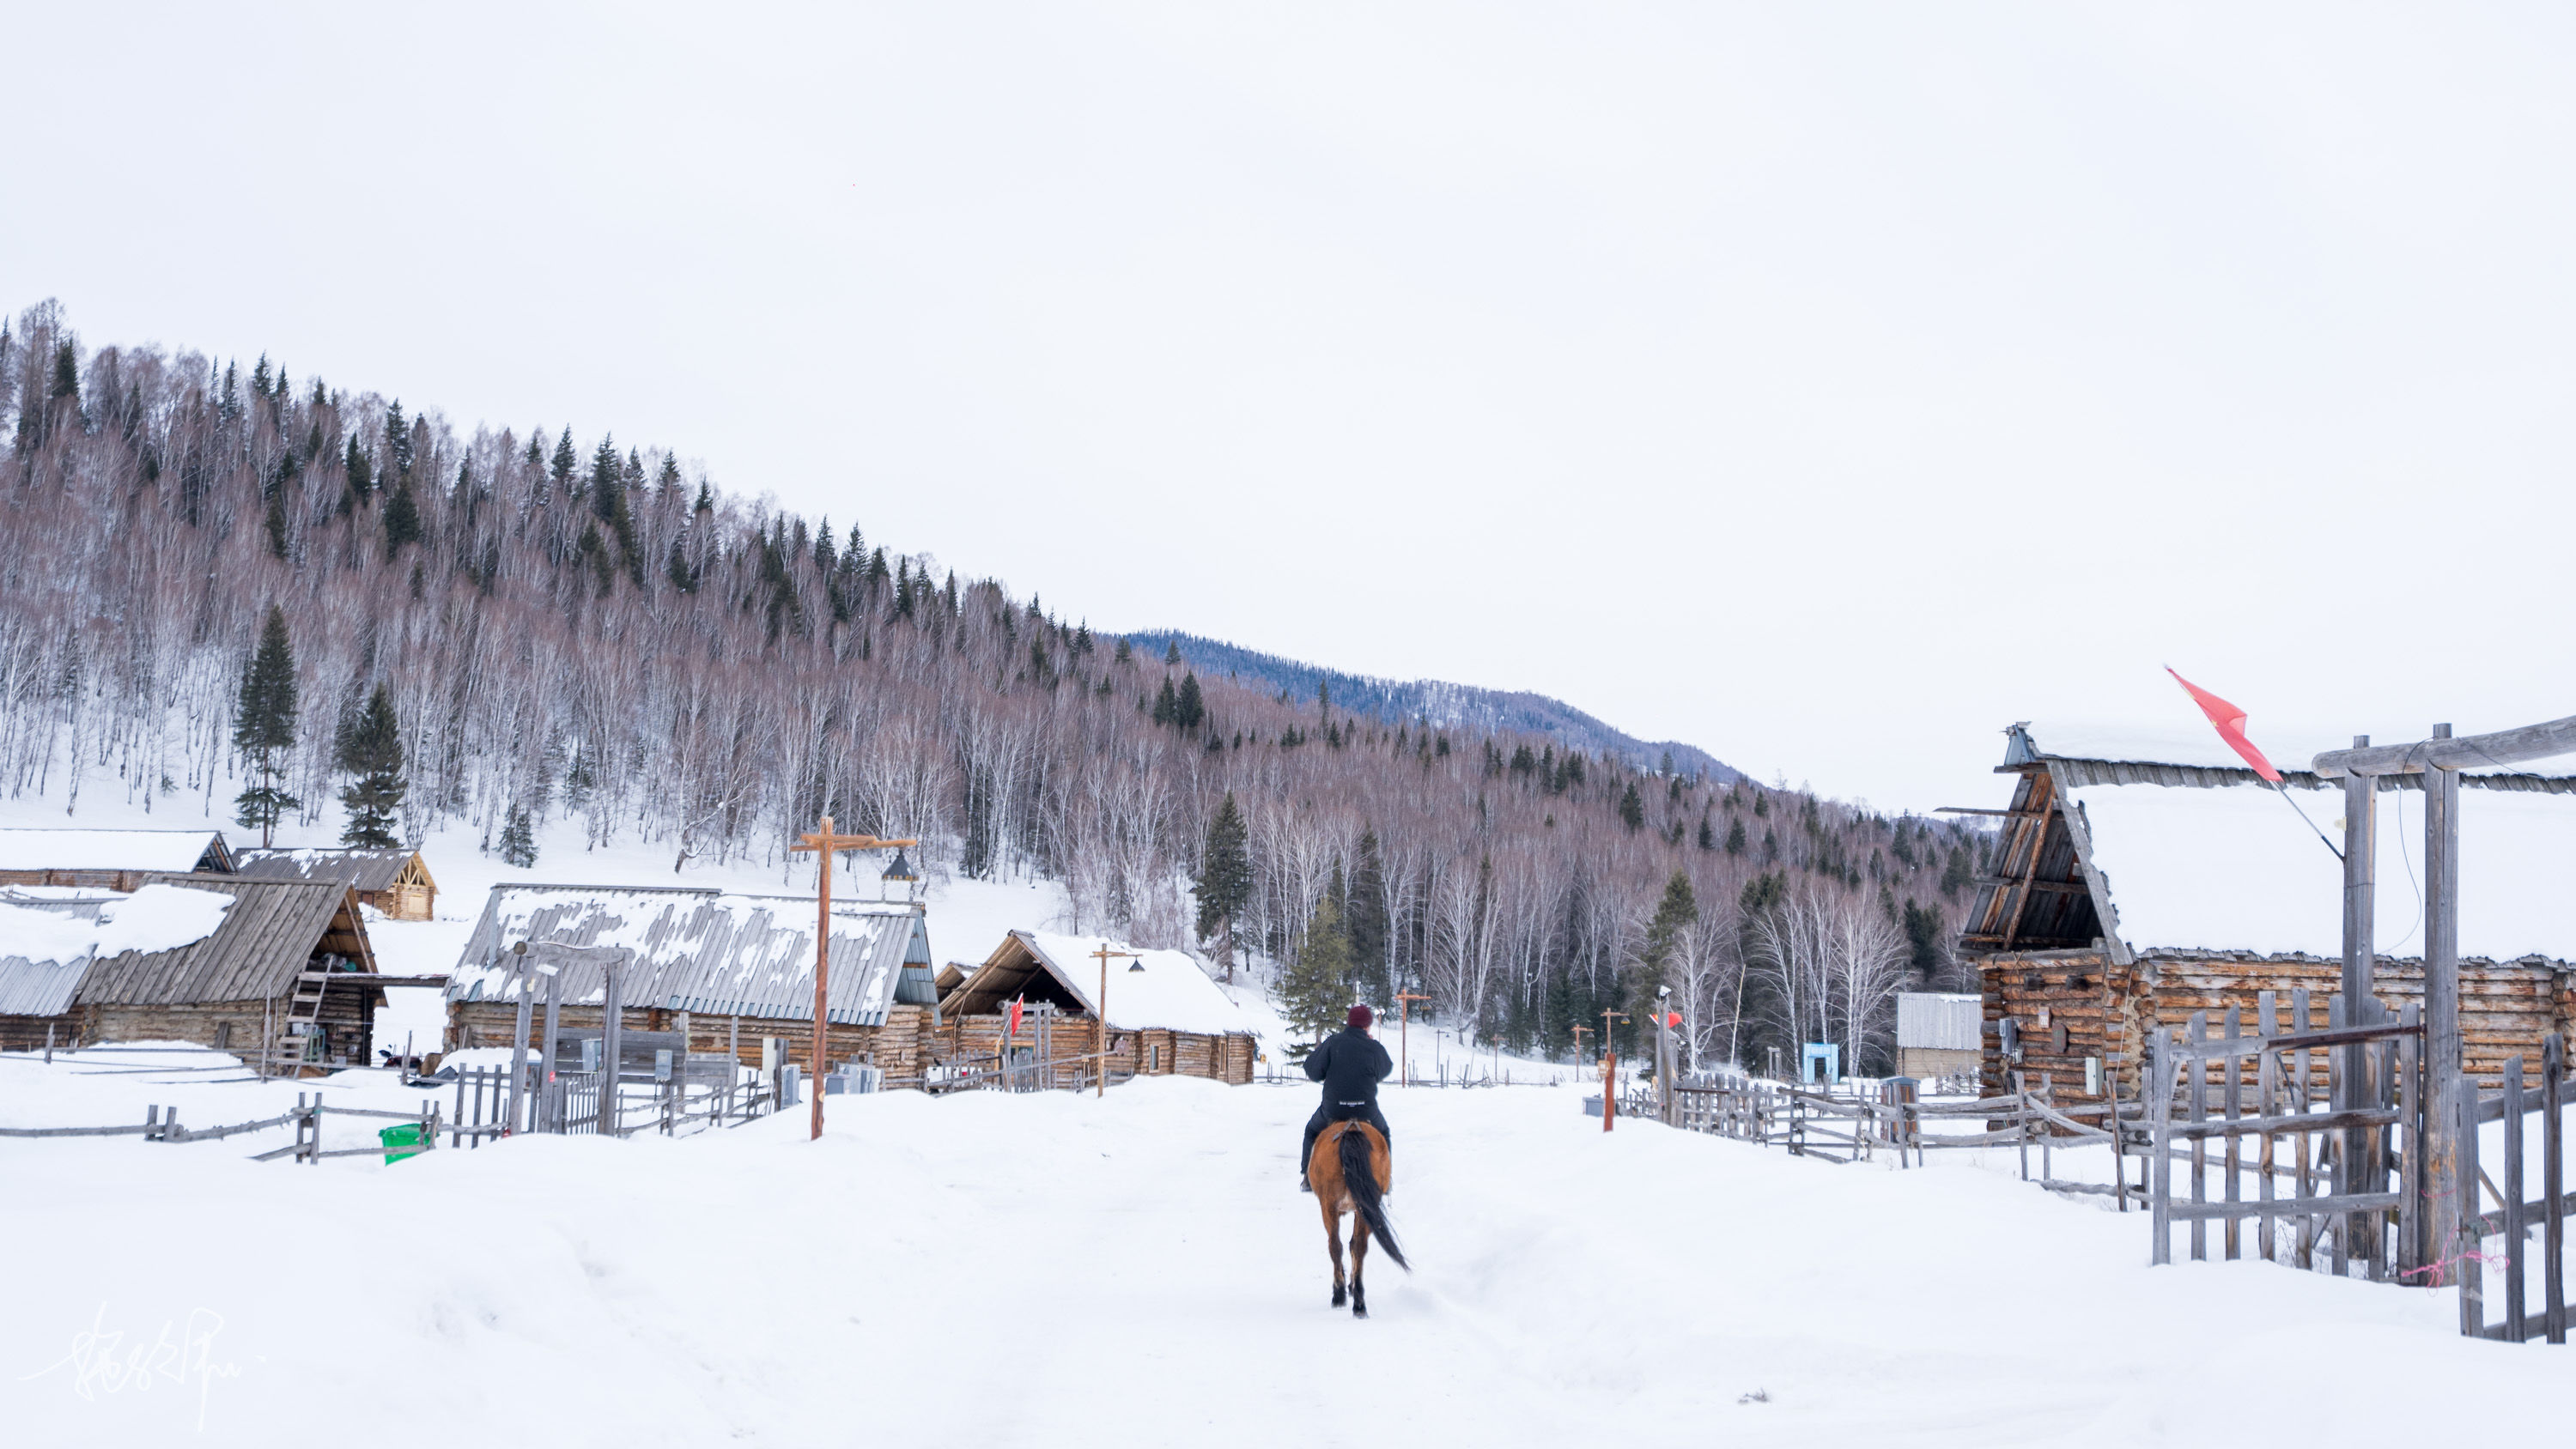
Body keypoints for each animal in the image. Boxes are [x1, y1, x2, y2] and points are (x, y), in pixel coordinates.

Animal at [1309, 1117, 1412, 1318]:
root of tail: (1350, 1130)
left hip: (1329, 1205)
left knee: (1336, 1245)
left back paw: (1339, 1295)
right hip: (1366, 1206)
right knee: (1358, 1246)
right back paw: (1359, 1303)